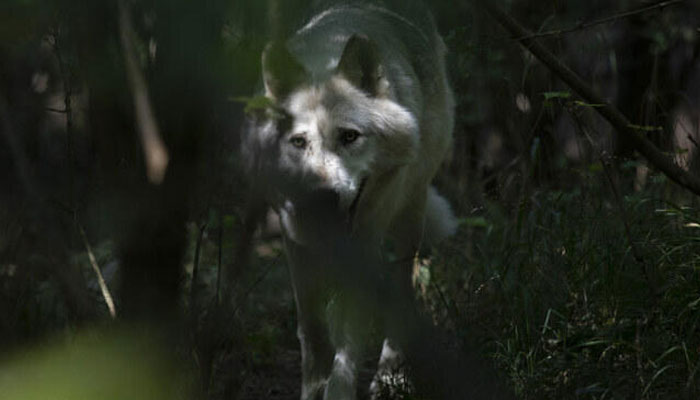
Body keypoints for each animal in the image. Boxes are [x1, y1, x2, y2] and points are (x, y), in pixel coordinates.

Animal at [244, 1, 456, 399]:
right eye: (299, 142)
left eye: (350, 137)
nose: (322, 197)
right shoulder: (294, 240)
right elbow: (313, 330)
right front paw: (312, 389)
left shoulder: (363, 244)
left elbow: (347, 341)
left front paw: (338, 390)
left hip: (409, 214)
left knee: (401, 292)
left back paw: (391, 376)